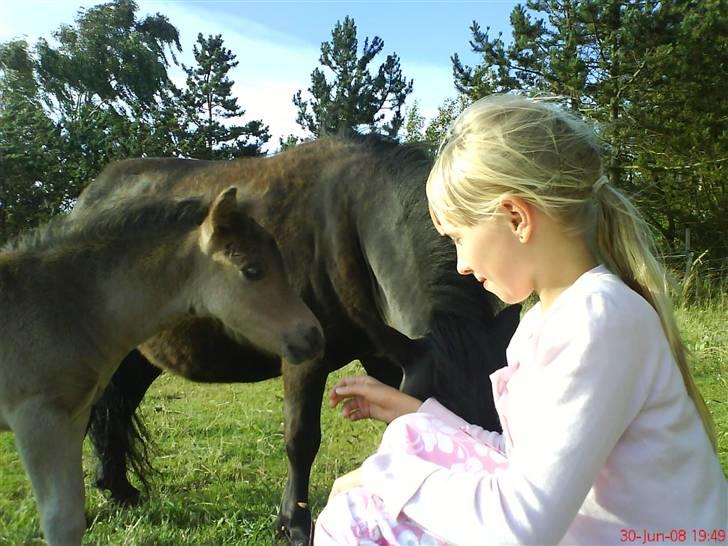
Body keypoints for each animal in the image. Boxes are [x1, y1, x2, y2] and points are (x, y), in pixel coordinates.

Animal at [72, 133, 516, 544]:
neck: (348, 223)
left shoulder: (391, 356)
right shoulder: (306, 360)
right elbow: (301, 439)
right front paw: (294, 523)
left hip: (137, 358)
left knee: (117, 410)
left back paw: (118, 488)